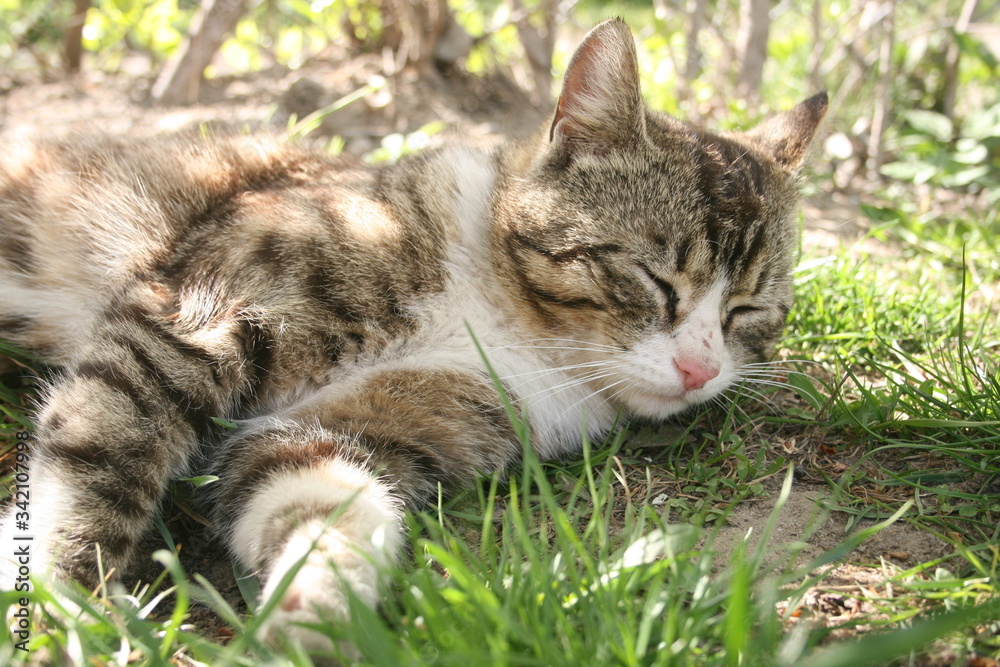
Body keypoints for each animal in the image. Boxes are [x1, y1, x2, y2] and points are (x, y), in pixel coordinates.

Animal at [1, 19, 828, 652]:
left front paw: (321, 602)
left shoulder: (358, 421)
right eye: (657, 281)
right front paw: (71, 601)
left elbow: (320, 491)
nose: (699, 370)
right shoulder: (188, 318)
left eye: (747, 311)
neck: (511, 322)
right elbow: (104, 446)